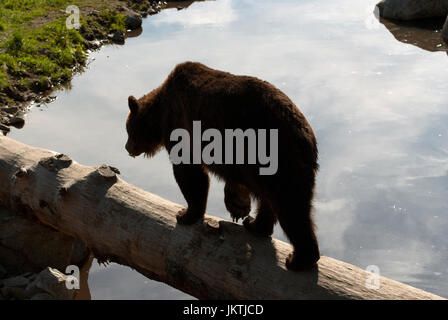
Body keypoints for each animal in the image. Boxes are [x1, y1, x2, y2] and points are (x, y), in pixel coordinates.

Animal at [126, 60, 320, 270]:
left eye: (128, 129)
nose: (127, 147)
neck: (160, 115)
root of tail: (305, 136)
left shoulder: (180, 123)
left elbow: (190, 172)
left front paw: (185, 214)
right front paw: (238, 205)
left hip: (275, 153)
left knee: (290, 205)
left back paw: (298, 259)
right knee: (275, 200)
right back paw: (256, 225)